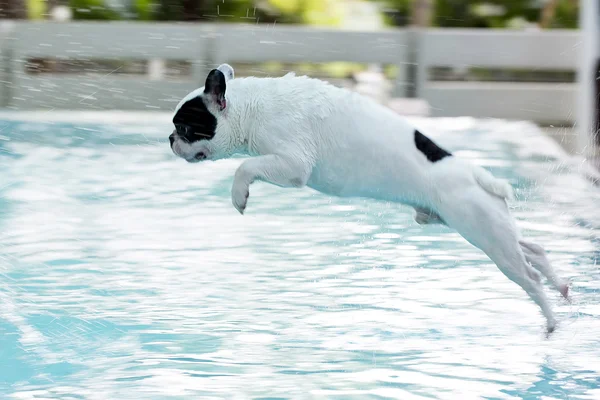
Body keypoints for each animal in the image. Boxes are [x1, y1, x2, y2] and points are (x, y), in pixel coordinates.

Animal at [170, 64, 572, 332]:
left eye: (184, 127)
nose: (170, 139)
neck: (251, 107)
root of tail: (473, 173)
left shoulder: (292, 164)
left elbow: (244, 167)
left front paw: (239, 194)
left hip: (486, 236)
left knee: (528, 276)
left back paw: (551, 320)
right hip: (479, 225)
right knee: (533, 248)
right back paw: (562, 286)